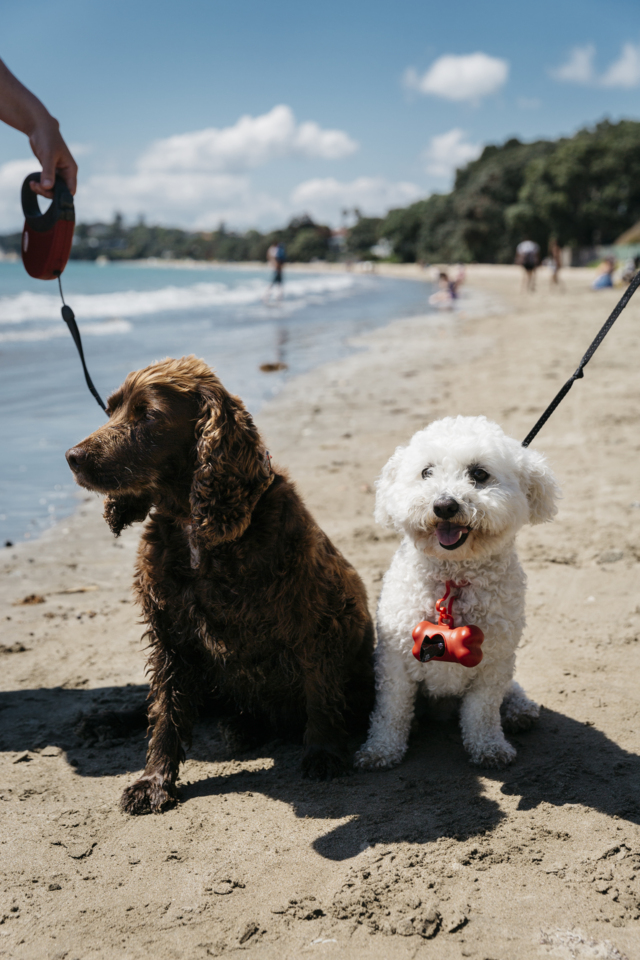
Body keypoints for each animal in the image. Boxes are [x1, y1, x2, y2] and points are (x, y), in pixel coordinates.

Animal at [65, 356, 376, 812]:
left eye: (148, 415)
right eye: (111, 409)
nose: (72, 457)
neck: (196, 526)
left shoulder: (315, 620)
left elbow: (320, 693)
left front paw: (324, 753)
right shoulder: (172, 637)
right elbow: (165, 714)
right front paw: (154, 781)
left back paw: (241, 729)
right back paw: (104, 721)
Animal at [356, 416, 560, 768]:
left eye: (479, 474)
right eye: (426, 472)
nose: (444, 505)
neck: (454, 577)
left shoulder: (494, 662)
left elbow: (483, 712)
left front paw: (489, 747)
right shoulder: (394, 662)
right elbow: (390, 711)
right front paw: (380, 750)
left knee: (511, 690)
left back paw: (518, 710)